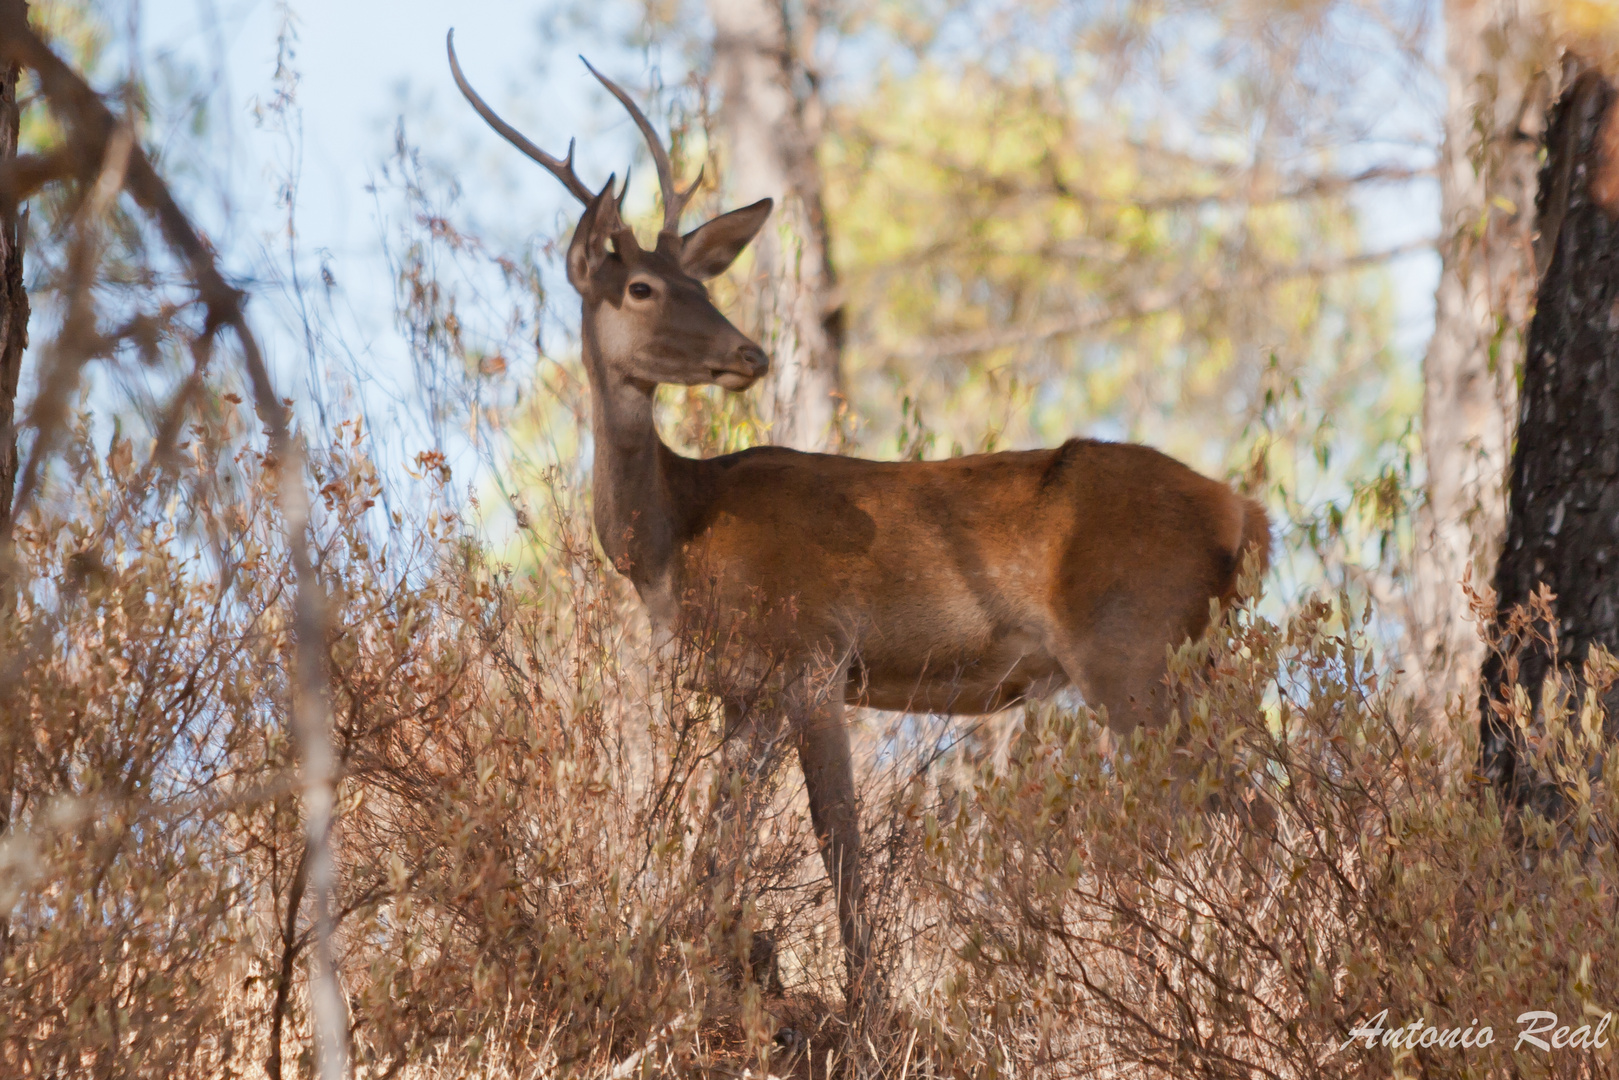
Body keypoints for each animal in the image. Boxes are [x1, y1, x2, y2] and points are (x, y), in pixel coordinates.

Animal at [450, 33, 1269, 1010]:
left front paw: (864, 1004)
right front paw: (685, 969)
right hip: (1197, 655)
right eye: (644, 286)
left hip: (1131, 649)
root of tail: (1242, 512)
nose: (749, 353)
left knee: (1214, 809)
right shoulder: (744, 689)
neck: (670, 538)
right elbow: (717, 844)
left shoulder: (810, 654)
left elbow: (831, 831)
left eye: (693, 283)